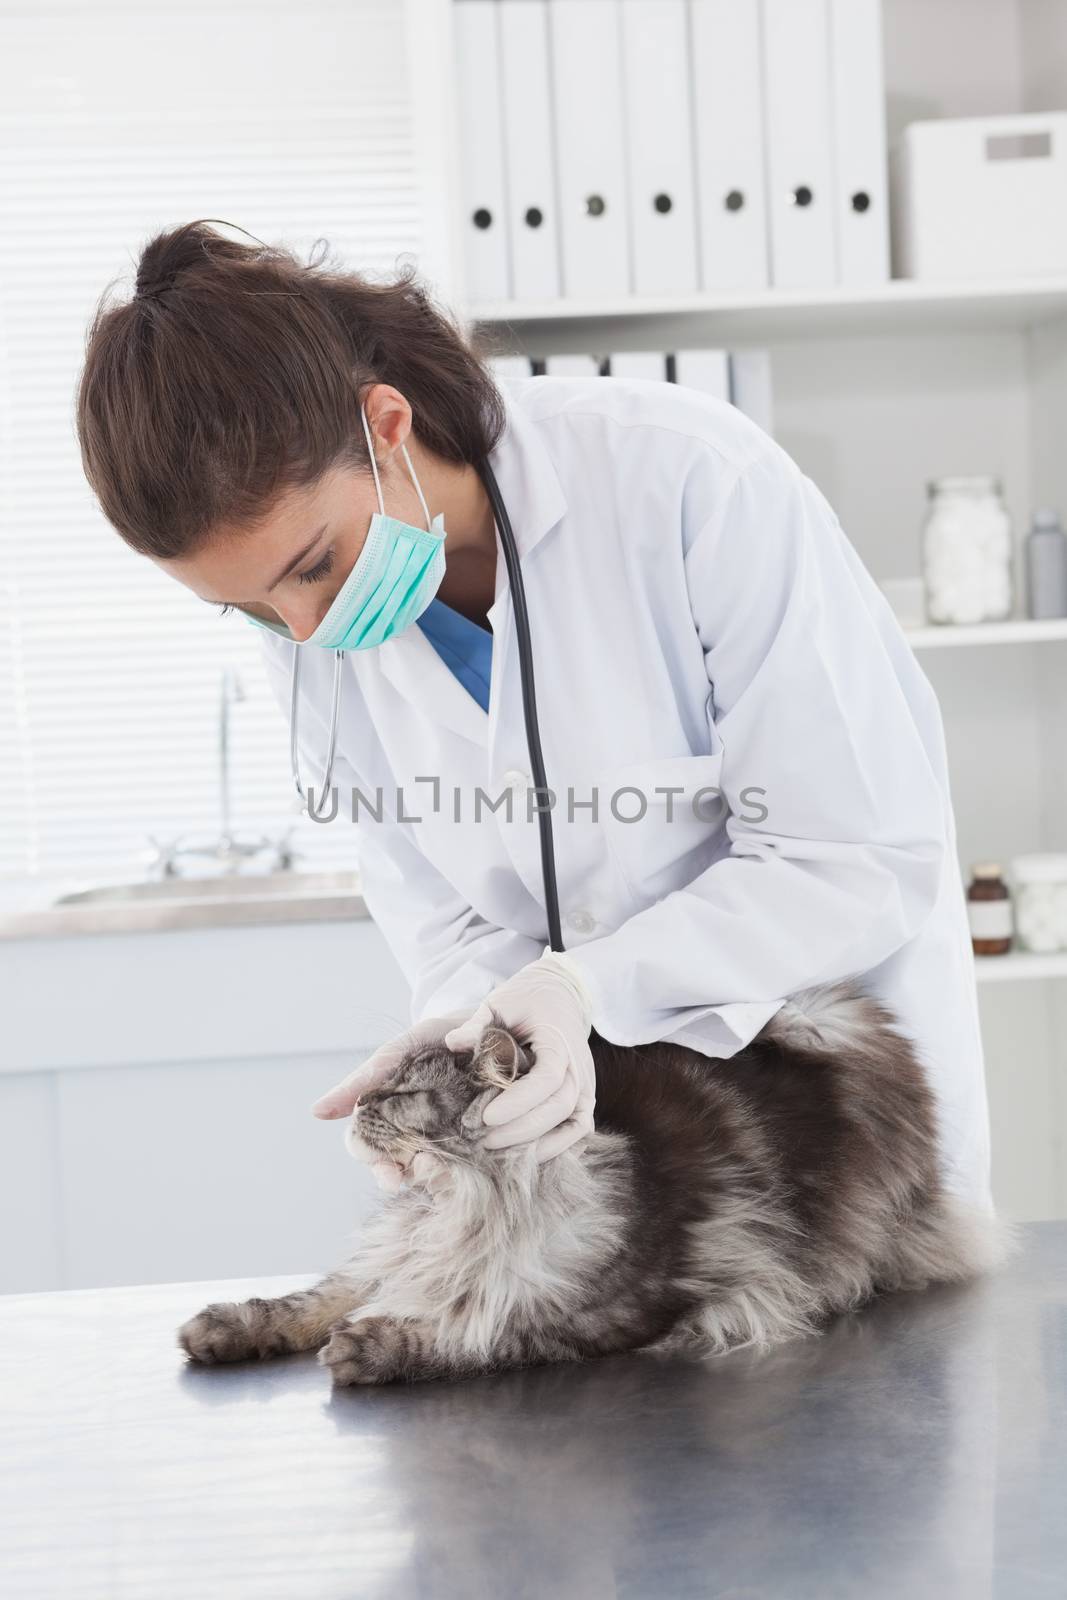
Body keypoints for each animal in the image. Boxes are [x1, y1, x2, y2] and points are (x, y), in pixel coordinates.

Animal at [177, 979, 1017, 1382]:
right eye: (380, 1084)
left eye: (404, 1093)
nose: (357, 1106)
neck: (459, 1207)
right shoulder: (390, 1257)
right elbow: (311, 1299)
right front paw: (224, 1327)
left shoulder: (616, 1313)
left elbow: (485, 1335)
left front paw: (375, 1346)